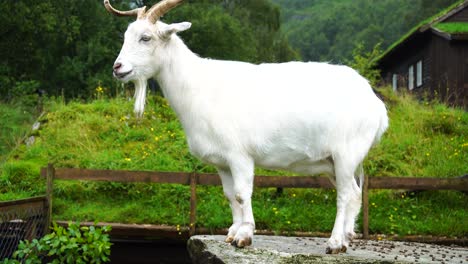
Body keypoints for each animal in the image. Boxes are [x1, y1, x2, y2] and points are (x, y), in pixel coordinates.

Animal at [105, 0, 388, 254]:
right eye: (125, 36)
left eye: (145, 38)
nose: (117, 67)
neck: (199, 86)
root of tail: (376, 104)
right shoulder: (222, 162)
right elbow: (230, 195)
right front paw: (232, 232)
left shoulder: (239, 155)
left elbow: (242, 193)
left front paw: (244, 236)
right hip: (333, 161)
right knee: (354, 193)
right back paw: (347, 238)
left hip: (346, 154)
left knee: (346, 195)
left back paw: (335, 243)